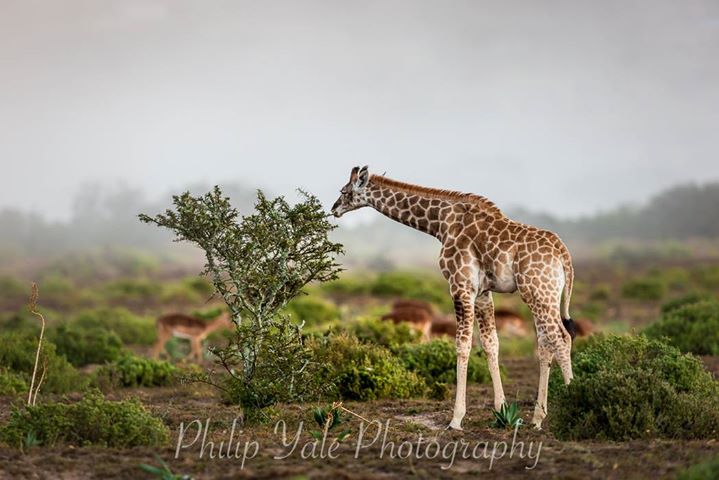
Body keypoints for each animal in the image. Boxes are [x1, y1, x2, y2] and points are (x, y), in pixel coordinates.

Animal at [334, 167, 580, 430]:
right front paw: (501, 411)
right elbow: (491, 343)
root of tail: (563, 253)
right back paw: (537, 418)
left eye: (344, 191)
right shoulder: (482, 293)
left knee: (561, 338)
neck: (441, 222)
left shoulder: (459, 285)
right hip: (544, 295)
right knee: (546, 342)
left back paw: (574, 404)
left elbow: (462, 345)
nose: (334, 208)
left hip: (538, 292)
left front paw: (456, 419)